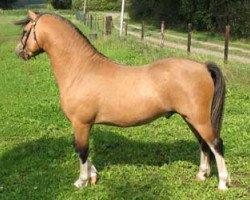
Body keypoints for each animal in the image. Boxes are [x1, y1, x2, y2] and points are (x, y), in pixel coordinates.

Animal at [15, 9, 230, 191]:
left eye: (25, 31)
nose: (18, 51)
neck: (82, 69)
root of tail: (203, 67)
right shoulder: (84, 124)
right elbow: (82, 150)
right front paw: (93, 175)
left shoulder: (81, 123)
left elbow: (81, 151)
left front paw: (82, 181)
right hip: (191, 118)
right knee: (203, 144)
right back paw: (202, 175)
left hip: (199, 119)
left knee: (216, 144)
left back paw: (222, 183)